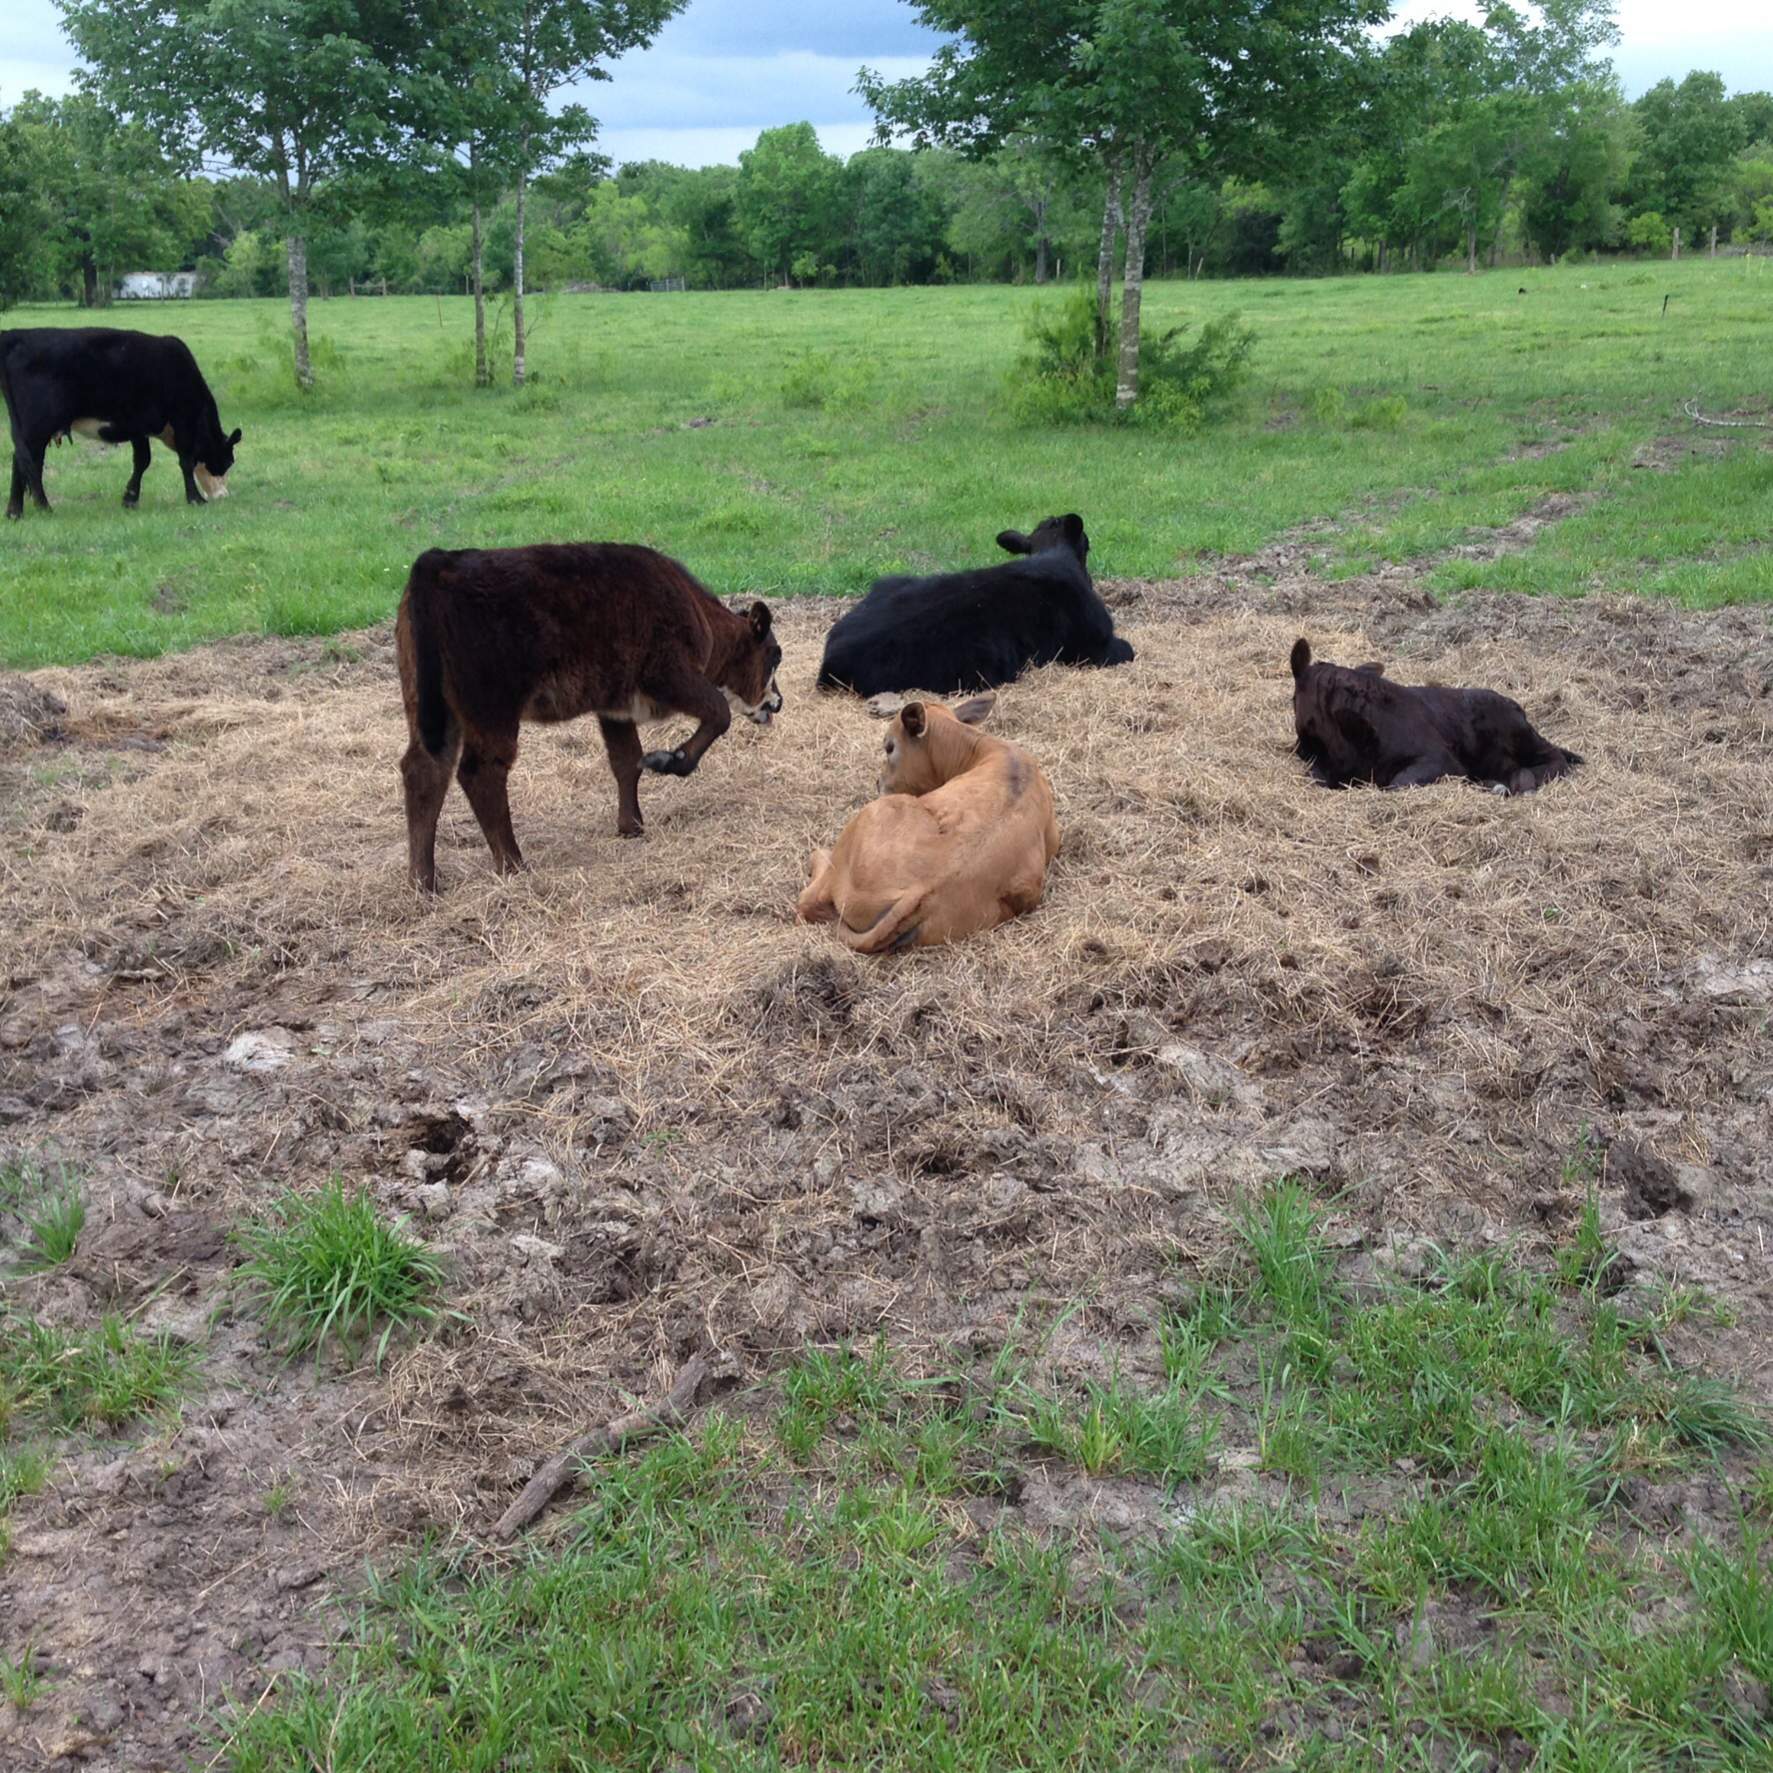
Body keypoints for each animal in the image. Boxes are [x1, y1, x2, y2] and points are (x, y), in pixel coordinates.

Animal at [0, 327, 241, 520]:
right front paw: (195, 499)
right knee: (27, 462)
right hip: (37, 427)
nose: (223, 495)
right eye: (228, 461)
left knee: (23, 461)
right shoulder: (182, 420)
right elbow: (186, 461)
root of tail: (15, 335)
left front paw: (130, 499)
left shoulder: (138, 427)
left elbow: (142, 460)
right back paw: (42, 507)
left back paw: (15, 512)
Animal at [397, 542, 783, 892]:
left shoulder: (615, 706)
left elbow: (626, 760)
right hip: (492, 708)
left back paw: (423, 882)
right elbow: (718, 713)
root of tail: (441, 561)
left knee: (424, 770)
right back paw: (513, 865)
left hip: (433, 708)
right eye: (775, 655)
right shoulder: (668, 674)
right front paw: (668, 761)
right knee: (481, 773)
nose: (777, 703)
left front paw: (632, 826)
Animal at [1289, 638, 1582, 795]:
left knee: (1555, 757)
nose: (1299, 749)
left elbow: (1397, 784)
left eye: (1292, 700)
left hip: (1520, 734)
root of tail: (1517, 707)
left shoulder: (1441, 760)